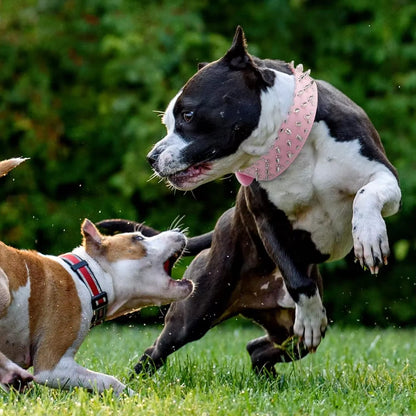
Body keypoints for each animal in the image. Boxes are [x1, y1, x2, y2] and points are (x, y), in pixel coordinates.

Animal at [0, 158, 194, 394]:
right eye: (138, 238)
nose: (178, 232)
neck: (86, 278)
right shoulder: (53, 367)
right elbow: (109, 381)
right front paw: (133, 397)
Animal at [100, 26, 400, 374]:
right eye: (168, 122)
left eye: (187, 114)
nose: (151, 157)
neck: (291, 143)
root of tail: (222, 224)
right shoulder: (267, 219)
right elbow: (298, 281)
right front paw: (311, 314)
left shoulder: (384, 175)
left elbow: (366, 194)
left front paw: (369, 237)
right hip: (197, 310)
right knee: (158, 349)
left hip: (286, 332)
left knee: (259, 348)